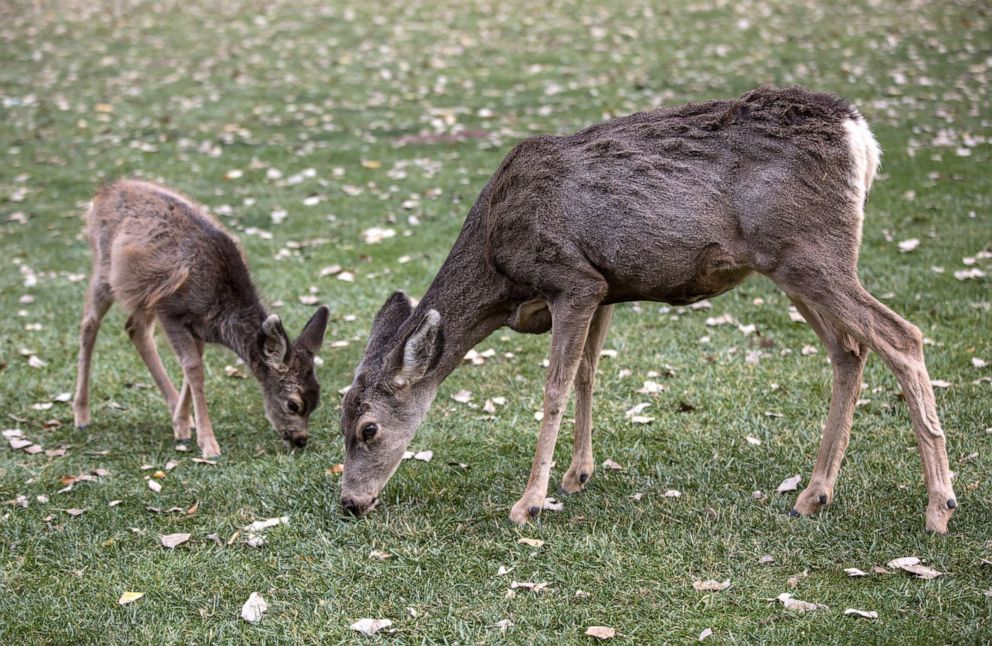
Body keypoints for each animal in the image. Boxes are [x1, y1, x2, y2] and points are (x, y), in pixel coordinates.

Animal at [74, 180, 330, 458]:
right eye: (293, 404)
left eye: (317, 400)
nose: (300, 440)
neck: (221, 314)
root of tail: (104, 191)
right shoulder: (170, 310)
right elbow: (194, 368)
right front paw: (208, 444)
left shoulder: (195, 326)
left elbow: (194, 362)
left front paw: (182, 424)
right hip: (106, 271)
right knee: (89, 324)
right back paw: (81, 415)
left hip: (142, 291)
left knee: (134, 328)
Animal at [340, 86, 952, 536]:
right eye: (340, 418)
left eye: (368, 429)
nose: (349, 503)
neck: (499, 267)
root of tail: (860, 136)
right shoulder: (606, 287)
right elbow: (587, 374)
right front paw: (577, 475)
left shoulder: (571, 277)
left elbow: (554, 387)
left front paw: (529, 504)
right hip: (790, 263)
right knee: (849, 350)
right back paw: (813, 494)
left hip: (810, 251)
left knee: (901, 335)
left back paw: (939, 508)